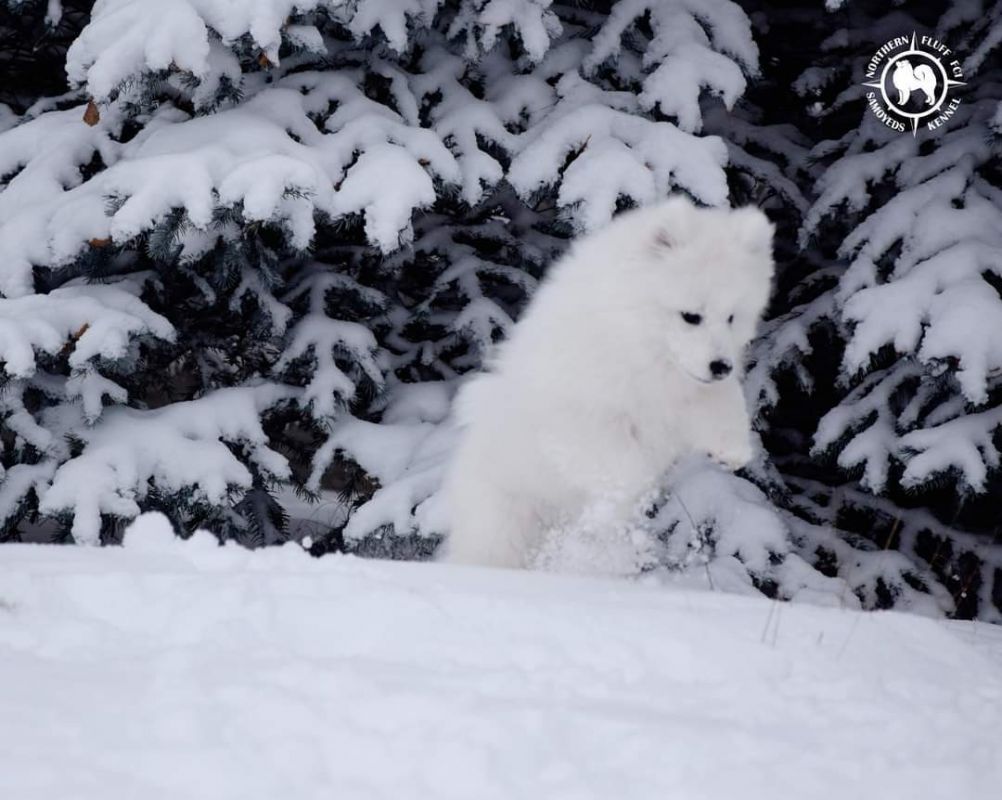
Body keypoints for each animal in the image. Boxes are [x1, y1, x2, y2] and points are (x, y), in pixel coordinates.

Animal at [442, 196, 775, 568]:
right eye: (691, 316)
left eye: (731, 317)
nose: (721, 366)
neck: (634, 338)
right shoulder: (583, 419)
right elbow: (626, 468)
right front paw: (626, 496)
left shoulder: (683, 394)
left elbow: (724, 404)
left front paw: (732, 449)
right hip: (504, 525)